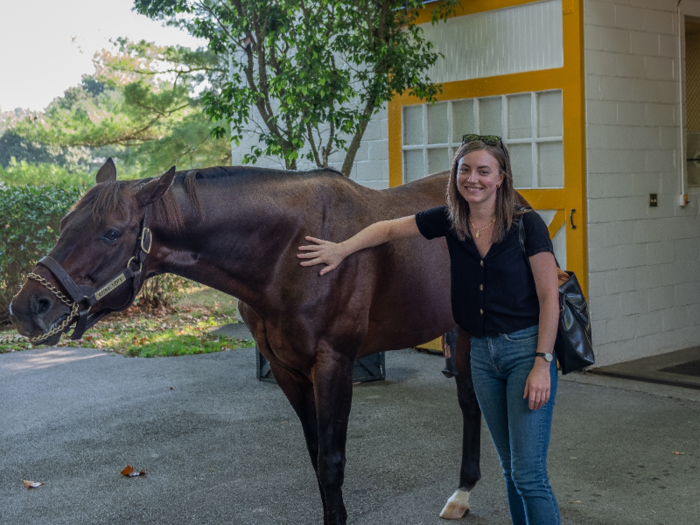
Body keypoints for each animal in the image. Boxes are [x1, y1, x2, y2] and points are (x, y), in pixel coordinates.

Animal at [9, 161, 482, 524]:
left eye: (111, 233)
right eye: (64, 224)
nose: (27, 307)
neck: (295, 250)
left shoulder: (334, 365)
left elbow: (331, 464)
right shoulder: (287, 370)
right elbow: (316, 455)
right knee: (470, 404)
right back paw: (462, 494)